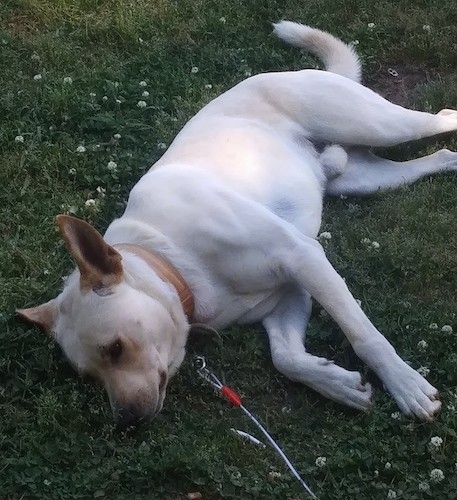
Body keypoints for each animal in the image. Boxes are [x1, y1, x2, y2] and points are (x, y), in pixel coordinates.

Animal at [17, 21, 456, 428]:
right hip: (364, 179)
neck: (170, 257)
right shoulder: (289, 295)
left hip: (381, 126)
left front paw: (405, 384)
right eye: (89, 377)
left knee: (442, 118)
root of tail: (289, 73)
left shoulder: (302, 257)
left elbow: (364, 335)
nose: (126, 421)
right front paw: (338, 384)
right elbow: (285, 357)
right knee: (439, 156)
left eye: (115, 348)